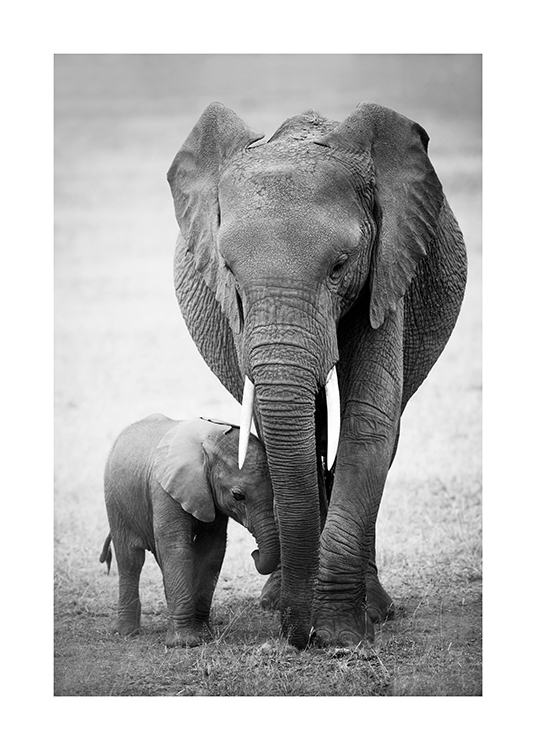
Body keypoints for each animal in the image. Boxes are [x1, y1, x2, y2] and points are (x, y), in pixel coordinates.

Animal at [100, 414, 279, 647]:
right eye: (238, 495)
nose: (254, 553)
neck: (208, 442)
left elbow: (212, 551)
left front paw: (203, 634)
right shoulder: (164, 489)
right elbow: (177, 548)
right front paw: (184, 643)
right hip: (115, 502)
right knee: (130, 559)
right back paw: (126, 632)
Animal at [167, 102, 467, 649]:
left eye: (340, 266)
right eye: (229, 270)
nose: (297, 635)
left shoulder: (387, 270)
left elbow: (368, 422)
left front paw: (341, 635)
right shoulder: (238, 315)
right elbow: (285, 429)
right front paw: (308, 621)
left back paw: (374, 609)